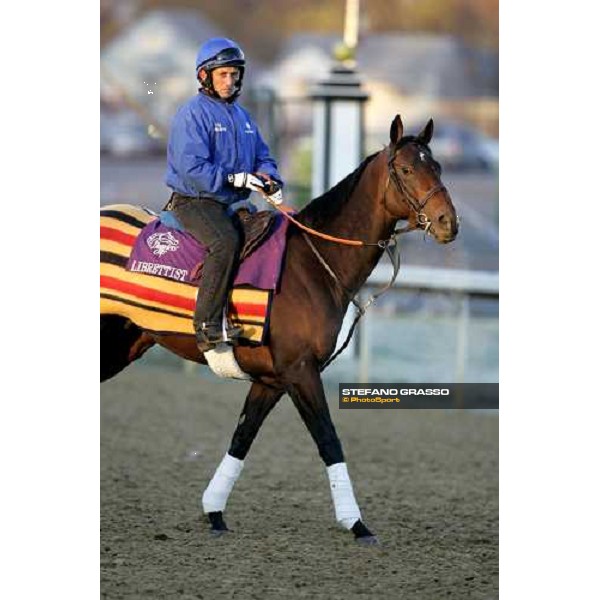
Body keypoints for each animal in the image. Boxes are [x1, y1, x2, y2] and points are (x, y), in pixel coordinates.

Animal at [102, 115, 460, 548]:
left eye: (436, 166)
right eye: (407, 169)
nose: (448, 223)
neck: (311, 266)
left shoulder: (271, 381)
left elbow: (242, 438)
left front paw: (214, 512)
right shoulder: (301, 372)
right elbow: (328, 440)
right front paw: (357, 523)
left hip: (126, 342)